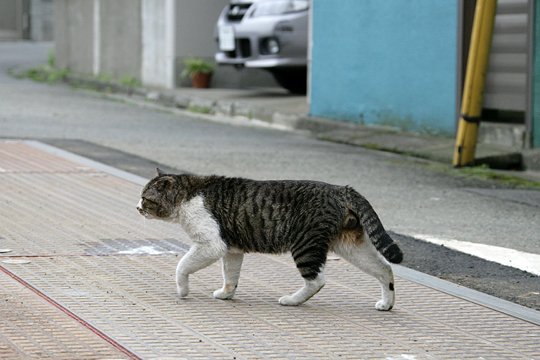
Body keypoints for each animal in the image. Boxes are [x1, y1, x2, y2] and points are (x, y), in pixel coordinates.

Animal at [137, 169, 402, 310]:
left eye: (145, 198)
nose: (137, 208)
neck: (187, 195)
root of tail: (340, 189)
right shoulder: (232, 250)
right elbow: (231, 277)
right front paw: (226, 294)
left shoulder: (211, 245)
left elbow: (182, 266)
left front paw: (182, 290)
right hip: (352, 246)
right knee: (384, 269)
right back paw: (386, 303)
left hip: (305, 245)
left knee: (317, 280)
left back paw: (291, 300)